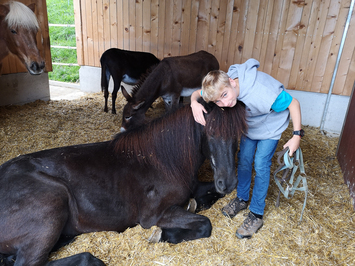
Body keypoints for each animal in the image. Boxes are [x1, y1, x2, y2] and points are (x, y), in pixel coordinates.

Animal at [0, 99, 248, 264]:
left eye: (239, 135)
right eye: (210, 132)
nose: (228, 182)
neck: (164, 159)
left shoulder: (196, 186)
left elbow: (207, 196)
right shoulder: (154, 215)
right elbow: (205, 224)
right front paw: (164, 235)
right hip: (53, 204)